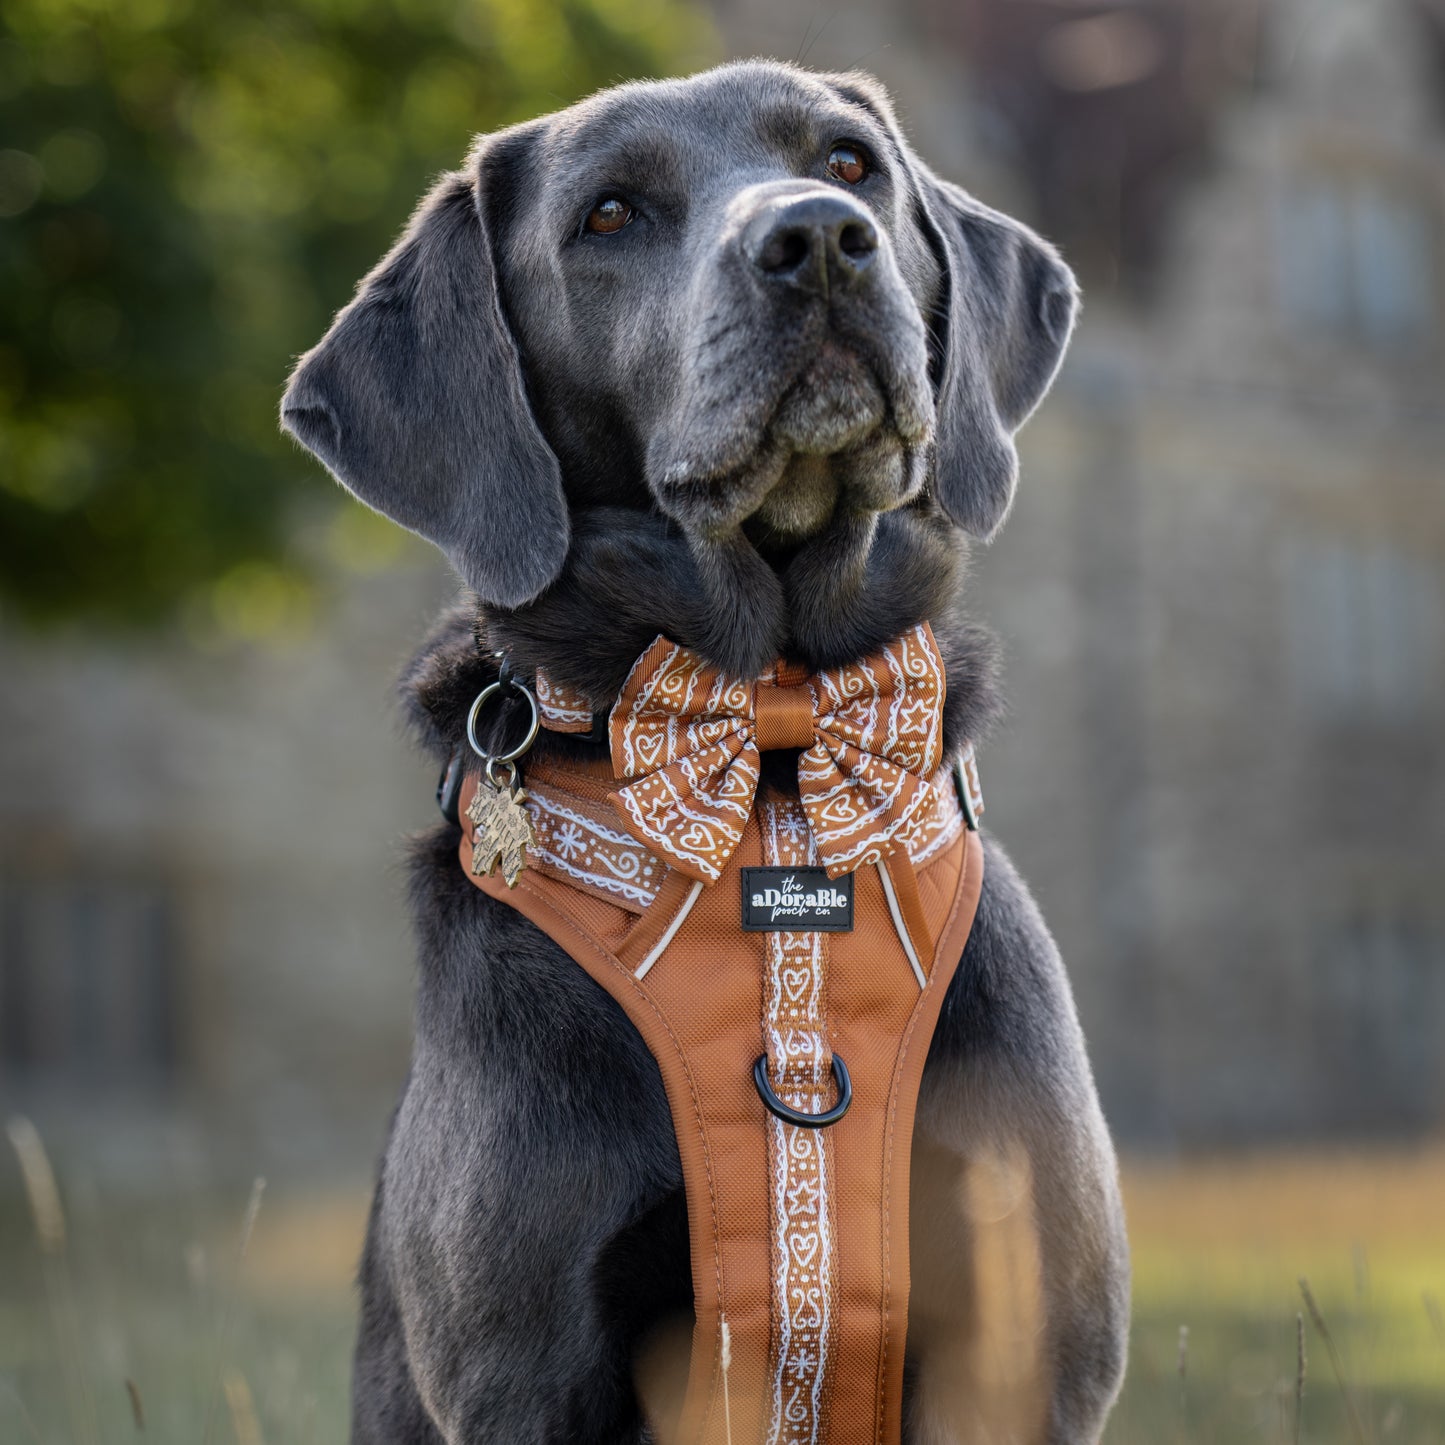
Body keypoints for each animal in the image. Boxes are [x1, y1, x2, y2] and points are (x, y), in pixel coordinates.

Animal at [281, 59, 1132, 1445]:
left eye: (847, 165)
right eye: (609, 215)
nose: (819, 241)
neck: (774, 745)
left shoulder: (1028, 1341)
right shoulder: (531, 1368)